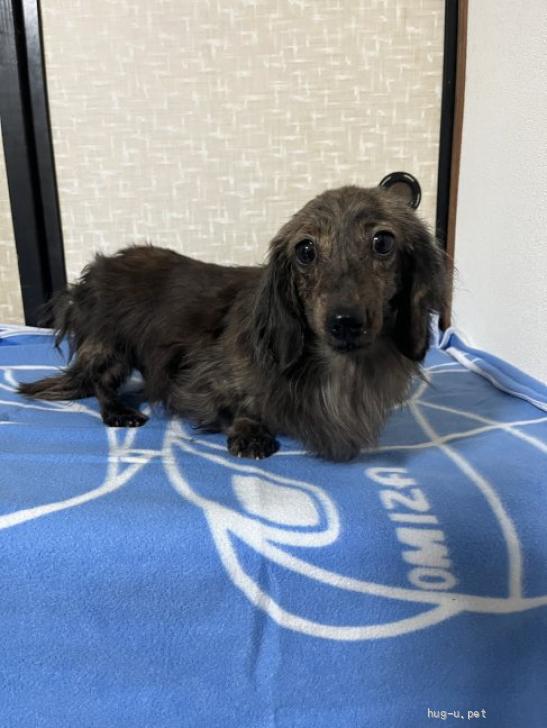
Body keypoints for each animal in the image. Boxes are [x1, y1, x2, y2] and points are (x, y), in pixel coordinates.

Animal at [18, 174, 447, 461]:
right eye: (305, 250)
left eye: (383, 242)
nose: (345, 322)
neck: (337, 366)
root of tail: (96, 272)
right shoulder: (204, 376)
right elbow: (244, 402)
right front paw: (250, 432)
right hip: (112, 347)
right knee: (100, 385)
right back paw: (119, 411)